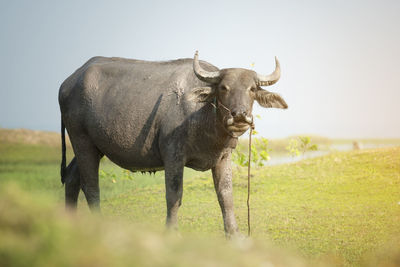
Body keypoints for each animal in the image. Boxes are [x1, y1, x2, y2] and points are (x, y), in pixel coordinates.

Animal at [57, 51, 286, 237]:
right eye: (223, 87)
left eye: (252, 89)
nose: (239, 116)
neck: (203, 117)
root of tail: (67, 83)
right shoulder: (173, 155)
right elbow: (174, 194)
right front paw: (172, 231)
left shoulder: (223, 157)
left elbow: (225, 195)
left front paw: (234, 234)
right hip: (81, 140)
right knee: (90, 185)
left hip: (93, 146)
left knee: (72, 177)